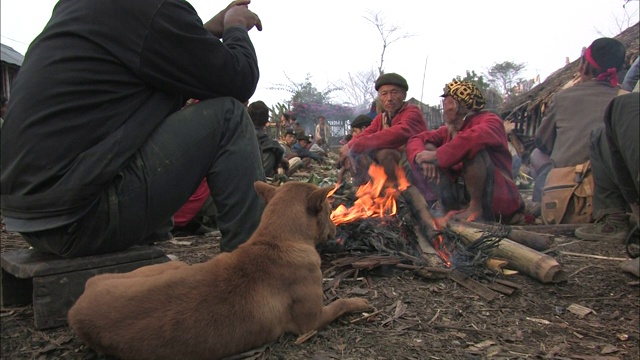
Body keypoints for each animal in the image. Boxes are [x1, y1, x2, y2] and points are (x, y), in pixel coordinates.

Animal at [66, 181, 370, 360]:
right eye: (329, 210)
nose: (336, 230)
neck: (275, 240)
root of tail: (77, 308)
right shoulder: (311, 322)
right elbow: (341, 303)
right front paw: (359, 302)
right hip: (178, 264)